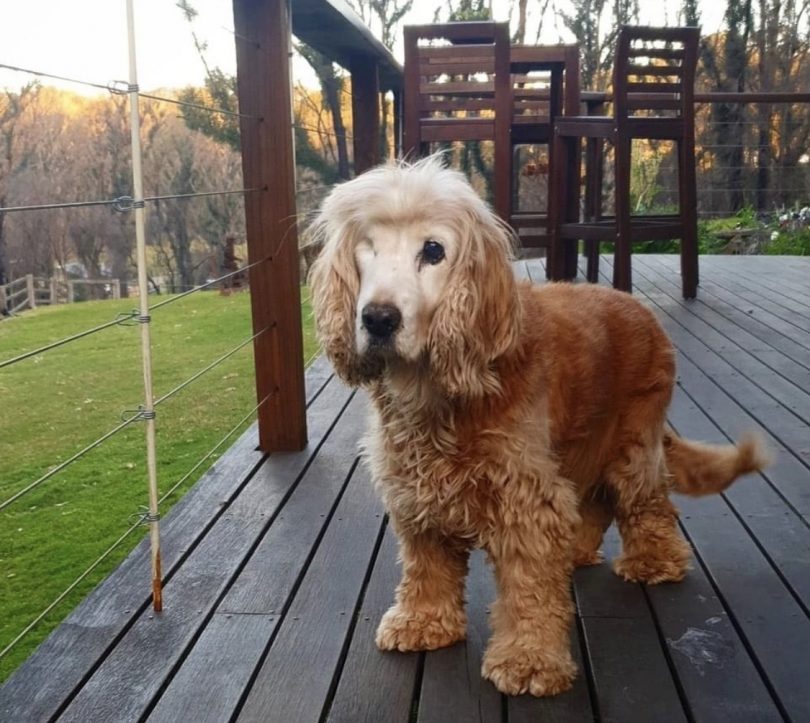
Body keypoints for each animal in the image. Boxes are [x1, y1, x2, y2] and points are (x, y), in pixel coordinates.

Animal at [306, 157, 768, 696]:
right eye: (368, 248)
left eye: (434, 251)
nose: (378, 319)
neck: (435, 395)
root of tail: (639, 306)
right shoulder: (417, 490)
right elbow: (427, 563)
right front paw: (423, 621)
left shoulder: (524, 497)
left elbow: (527, 588)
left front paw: (529, 659)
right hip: (579, 445)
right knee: (595, 502)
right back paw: (577, 552)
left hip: (633, 442)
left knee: (648, 503)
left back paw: (655, 562)